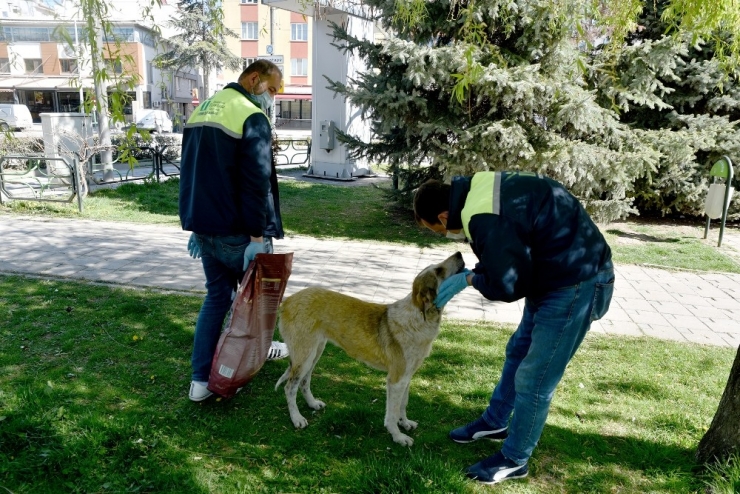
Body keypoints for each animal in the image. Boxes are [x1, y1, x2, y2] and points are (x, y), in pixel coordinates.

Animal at [274, 253, 466, 446]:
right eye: (439, 270)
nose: (459, 254)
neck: (420, 317)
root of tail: (288, 300)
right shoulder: (396, 380)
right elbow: (392, 413)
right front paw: (397, 436)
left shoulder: (407, 377)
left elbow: (403, 404)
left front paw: (404, 423)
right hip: (304, 356)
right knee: (290, 387)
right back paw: (296, 418)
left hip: (314, 353)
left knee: (304, 382)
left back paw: (312, 404)